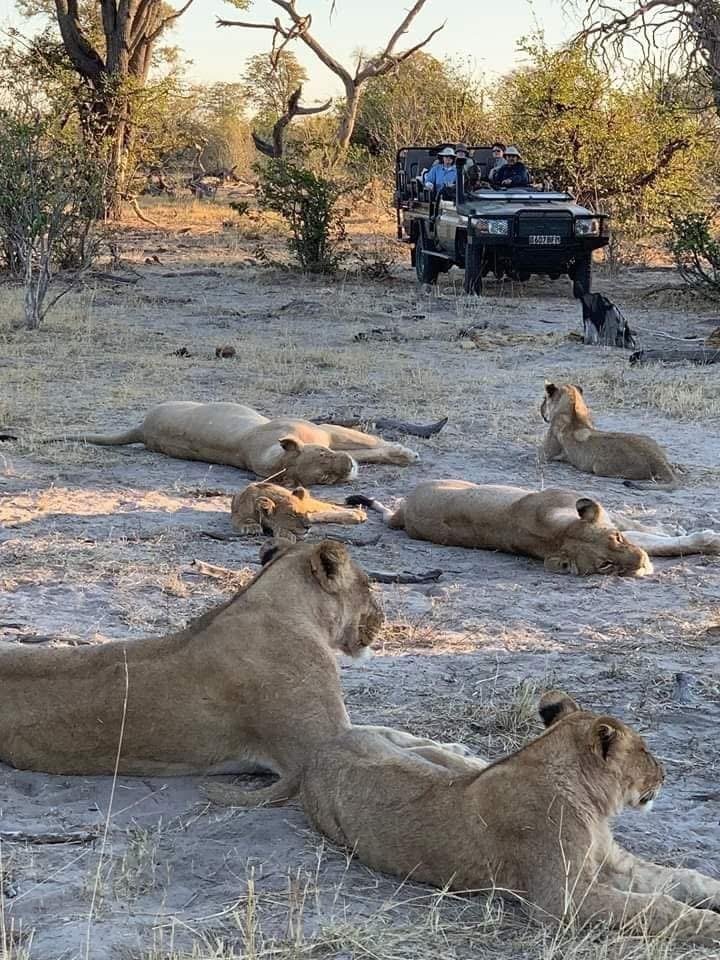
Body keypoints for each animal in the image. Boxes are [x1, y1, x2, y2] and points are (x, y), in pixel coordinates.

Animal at [231, 481, 367, 540]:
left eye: (303, 512)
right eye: (292, 515)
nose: (308, 527)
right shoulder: (238, 514)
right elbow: (245, 519)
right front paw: (252, 527)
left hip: (310, 503)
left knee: (327, 507)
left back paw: (357, 513)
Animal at [299, 691, 720, 945]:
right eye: (645, 750)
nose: (664, 775)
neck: (592, 804)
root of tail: (324, 746)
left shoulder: (613, 864)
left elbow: (682, 878)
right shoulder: (563, 899)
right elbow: (658, 906)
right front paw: (713, 926)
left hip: (420, 754)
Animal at [347, 480, 720, 576]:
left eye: (615, 540)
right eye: (605, 565)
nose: (641, 566)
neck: (556, 535)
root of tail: (405, 511)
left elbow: (649, 535)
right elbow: (657, 540)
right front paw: (707, 539)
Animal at [541, 383, 679, 489]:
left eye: (544, 398)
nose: (541, 410)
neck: (573, 411)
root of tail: (656, 458)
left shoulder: (547, 454)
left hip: (600, 467)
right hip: (649, 440)